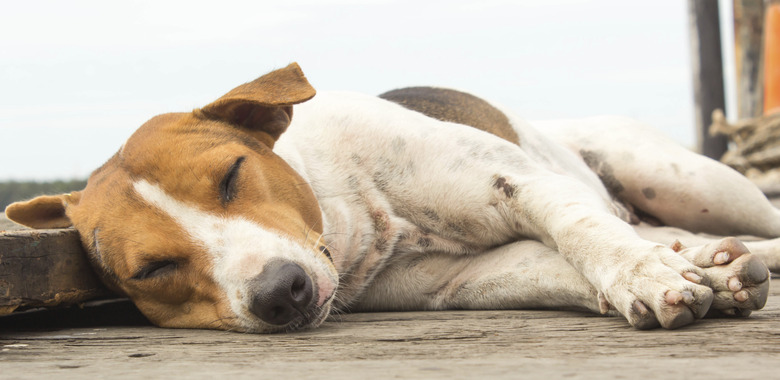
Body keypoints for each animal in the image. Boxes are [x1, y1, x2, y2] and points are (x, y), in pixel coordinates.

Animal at [4, 63, 772, 332]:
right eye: (154, 270)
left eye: (230, 175)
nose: (279, 293)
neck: (351, 215)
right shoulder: (468, 280)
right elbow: (563, 267)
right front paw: (693, 277)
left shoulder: (515, 183)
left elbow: (586, 233)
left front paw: (645, 278)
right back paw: (717, 259)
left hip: (683, 179)